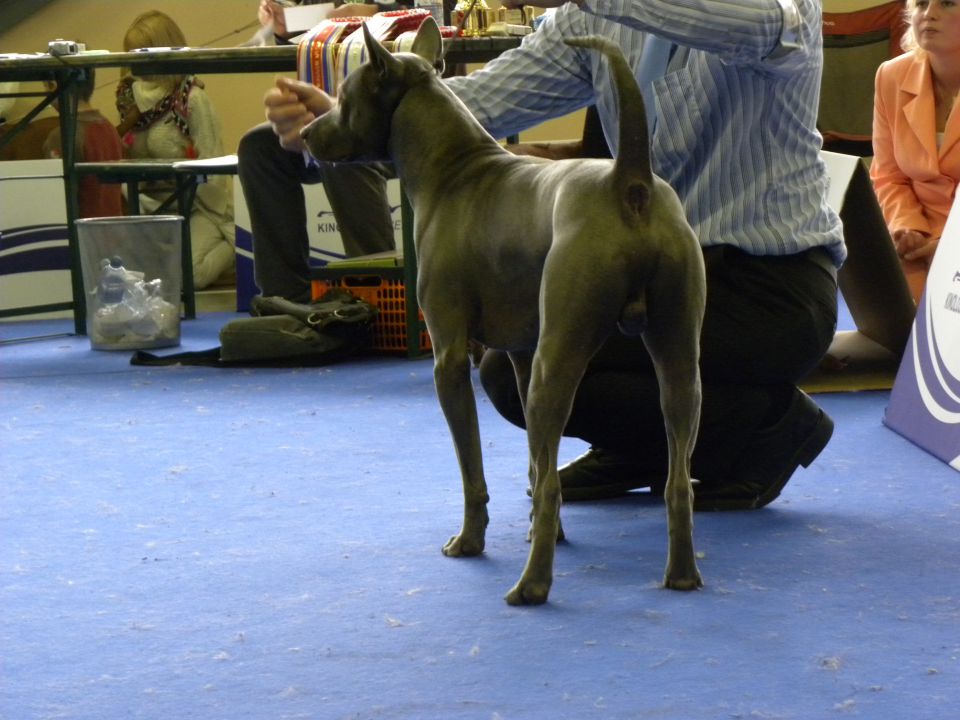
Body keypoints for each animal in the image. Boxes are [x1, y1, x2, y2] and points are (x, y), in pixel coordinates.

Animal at [304, 16, 708, 604]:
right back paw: (680, 573)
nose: (306, 135)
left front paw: (470, 541)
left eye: (343, 97)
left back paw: (532, 585)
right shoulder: (519, 352)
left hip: (555, 362)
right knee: (675, 478)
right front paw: (548, 530)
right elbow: (537, 466)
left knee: (556, 483)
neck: (453, 169)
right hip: (676, 361)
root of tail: (628, 182)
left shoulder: (450, 357)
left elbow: (474, 470)